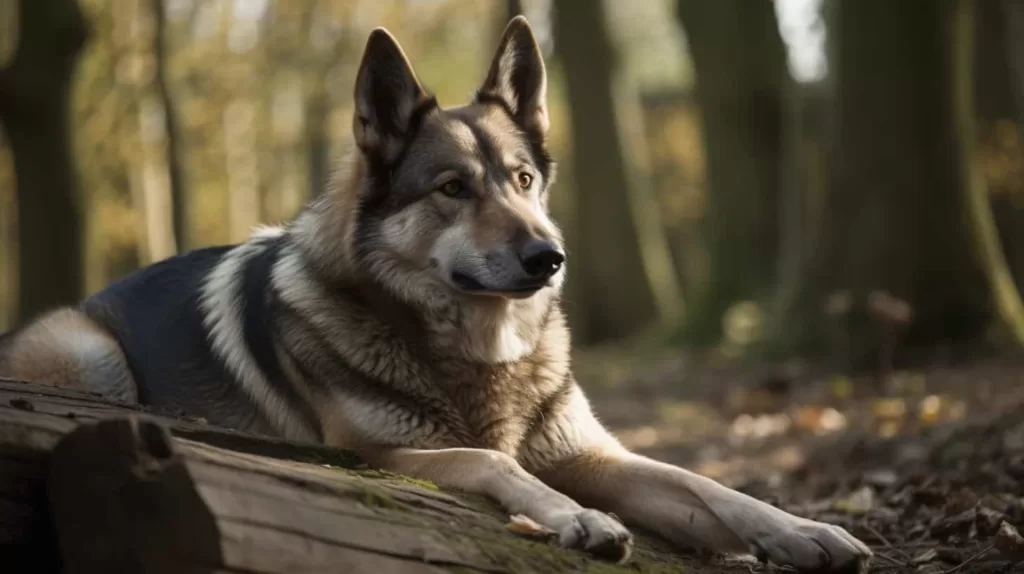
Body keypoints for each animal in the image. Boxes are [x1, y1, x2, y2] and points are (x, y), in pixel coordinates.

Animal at [0, 15, 872, 568]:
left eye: (522, 181)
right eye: (453, 188)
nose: (550, 258)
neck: (479, 357)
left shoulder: (592, 454)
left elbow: (701, 481)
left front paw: (803, 530)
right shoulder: (380, 455)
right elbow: (493, 460)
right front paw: (578, 518)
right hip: (92, 351)